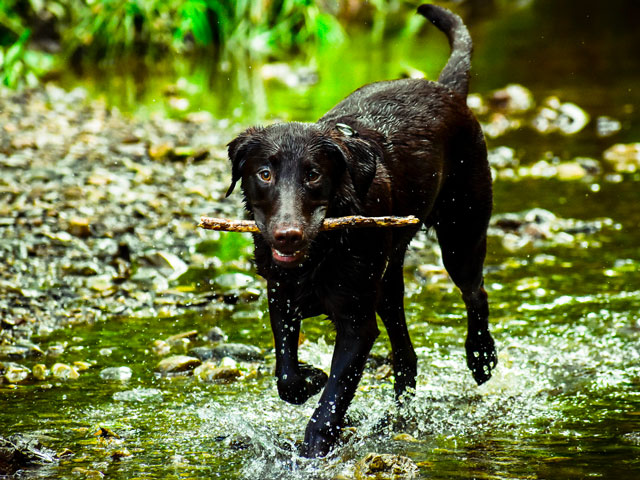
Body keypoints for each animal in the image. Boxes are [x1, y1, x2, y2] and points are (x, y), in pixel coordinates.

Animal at [226, 5, 500, 460]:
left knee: (475, 292)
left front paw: (317, 444)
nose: (287, 236)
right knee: (406, 352)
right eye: (264, 173)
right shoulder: (280, 298)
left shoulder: (356, 323)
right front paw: (310, 377)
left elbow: (335, 395)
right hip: (388, 281)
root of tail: (446, 89)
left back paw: (481, 357)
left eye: (314, 175)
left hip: (461, 234)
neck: (321, 253)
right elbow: (287, 377)